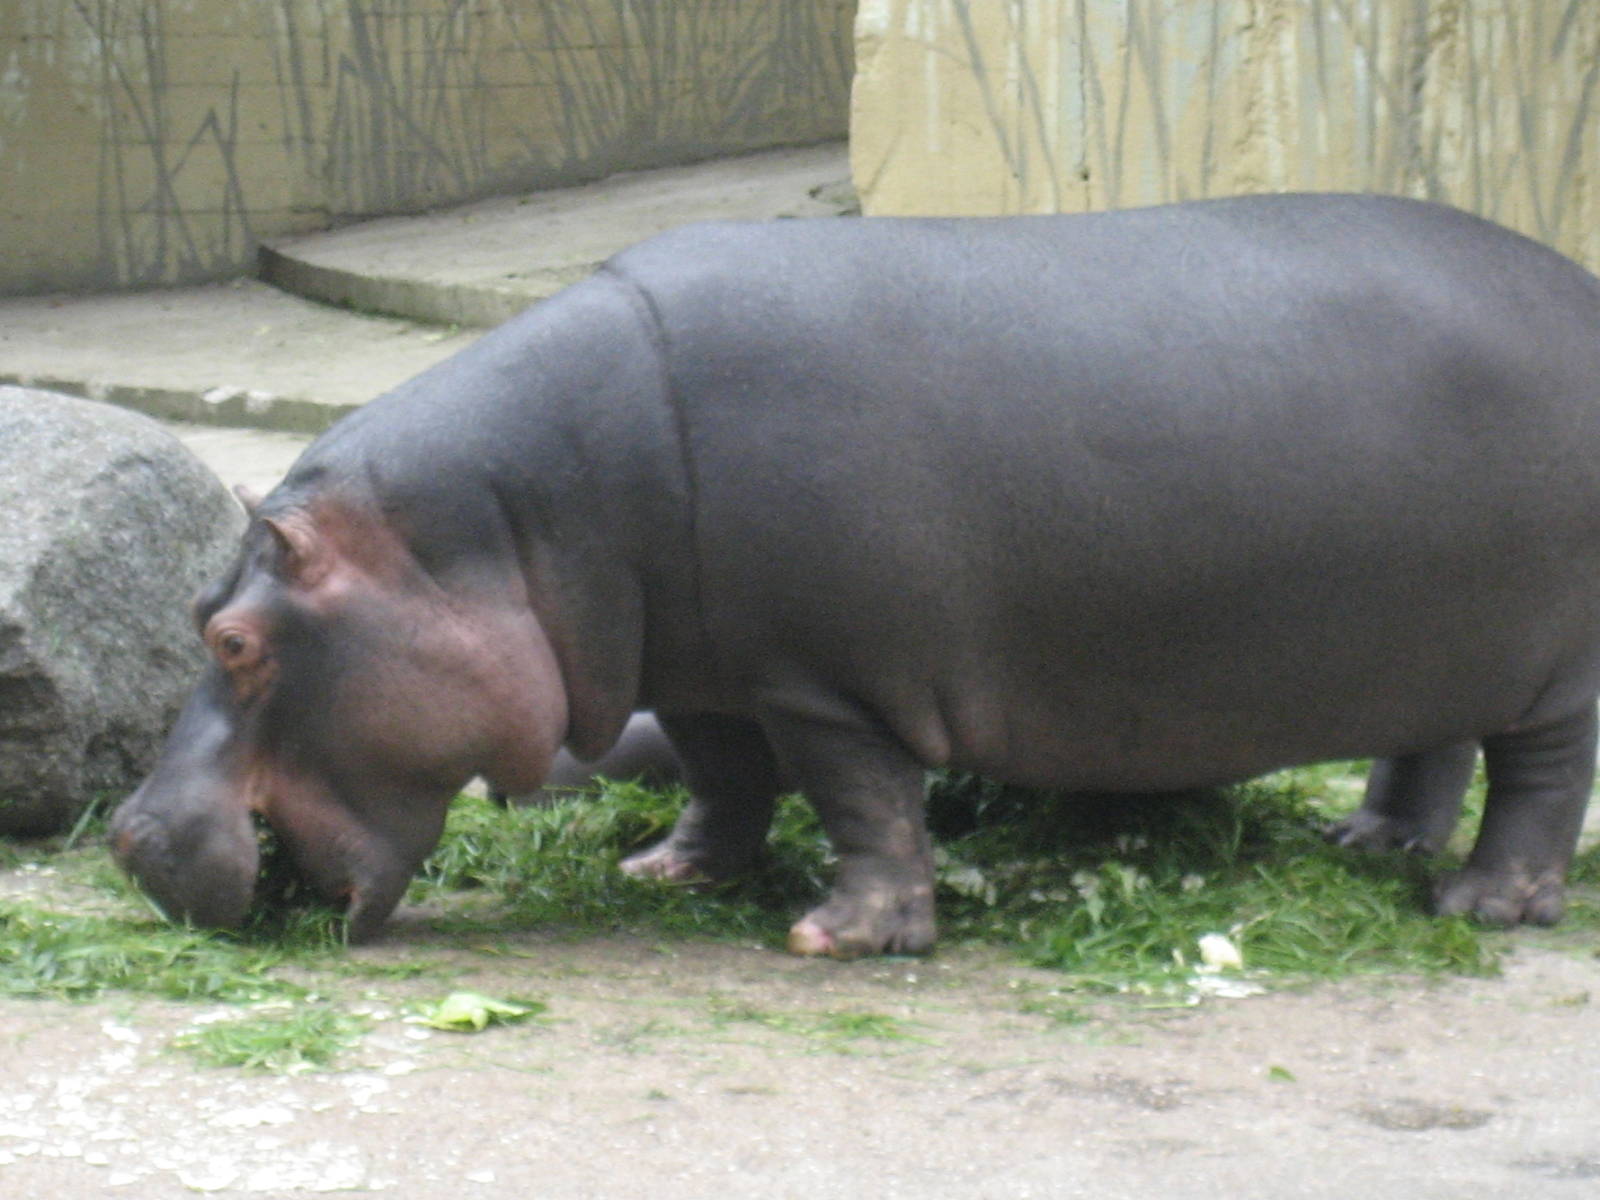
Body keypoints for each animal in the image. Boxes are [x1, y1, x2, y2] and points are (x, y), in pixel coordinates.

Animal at [112, 194, 1600, 957]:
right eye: (192, 609)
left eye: (236, 642)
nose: (125, 835)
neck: (504, 525)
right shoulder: (699, 660)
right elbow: (723, 773)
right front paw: (674, 872)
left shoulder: (822, 676)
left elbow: (858, 795)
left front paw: (843, 933)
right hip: (1429, 637)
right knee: (1428, 745)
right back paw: (1372, 845)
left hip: (1549, 661)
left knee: (1541, 774)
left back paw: (1479, 904)